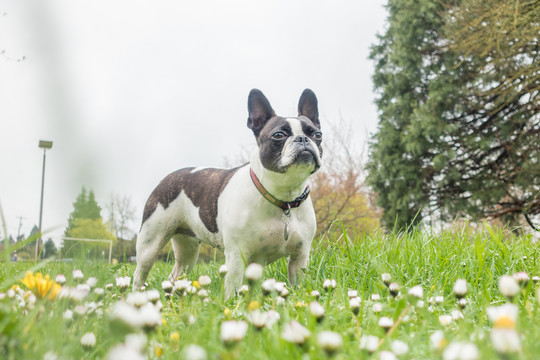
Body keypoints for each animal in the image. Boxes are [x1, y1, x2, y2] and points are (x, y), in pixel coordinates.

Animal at [133, 88, 322, 296]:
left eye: (317, 134)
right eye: (279, 135)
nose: (303, 139)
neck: (283, 198)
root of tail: (169, 176)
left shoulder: (300, 257)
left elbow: (298, 285)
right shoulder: (237, 256)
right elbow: (234, 288)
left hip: (188, 250)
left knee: (175, 275)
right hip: (150, 243)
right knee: (140, 273)